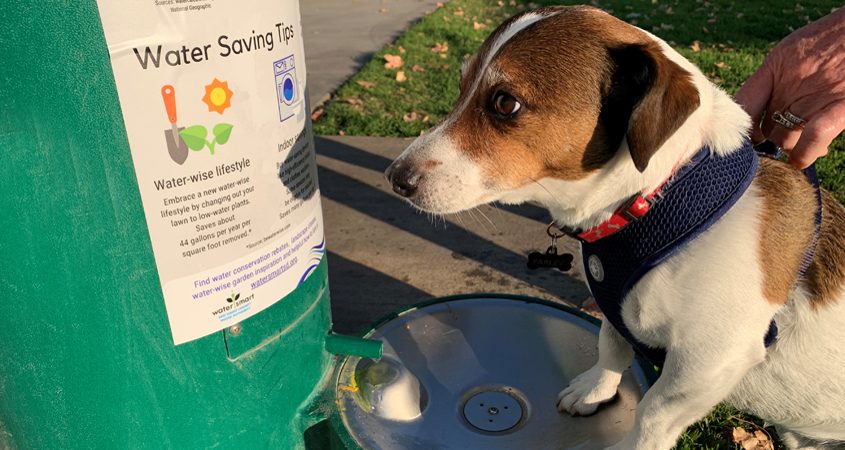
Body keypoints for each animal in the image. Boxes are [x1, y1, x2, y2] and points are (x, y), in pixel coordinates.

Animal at [388, 4, 844, 450]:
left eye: (505, 103)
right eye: (461, 84)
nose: (396, 178)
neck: (658, 196)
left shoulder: (707, 361)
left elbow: (651, 415)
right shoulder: (614, 307)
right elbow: (610, 347)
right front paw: (594, 391)